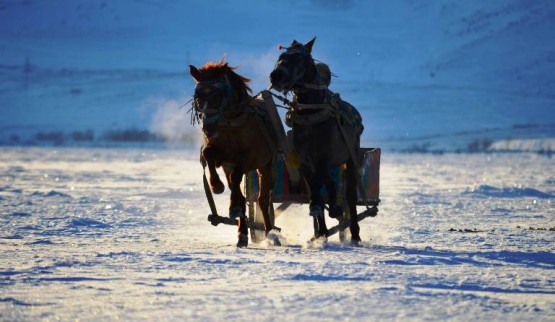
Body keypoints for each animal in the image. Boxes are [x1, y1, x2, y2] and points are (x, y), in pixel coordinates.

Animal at [190, 61, 278, 247]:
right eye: (198, 95)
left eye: (218, 94)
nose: (208, 128)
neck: (231, 123)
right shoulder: (223, 158)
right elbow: (208, 154)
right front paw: (216, 185)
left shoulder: (249, 157)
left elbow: (238, 176)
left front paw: (233, 206)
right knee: (240, 193)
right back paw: (242, 233)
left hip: (265, 166)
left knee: (262, 199)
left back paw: (270, 232)